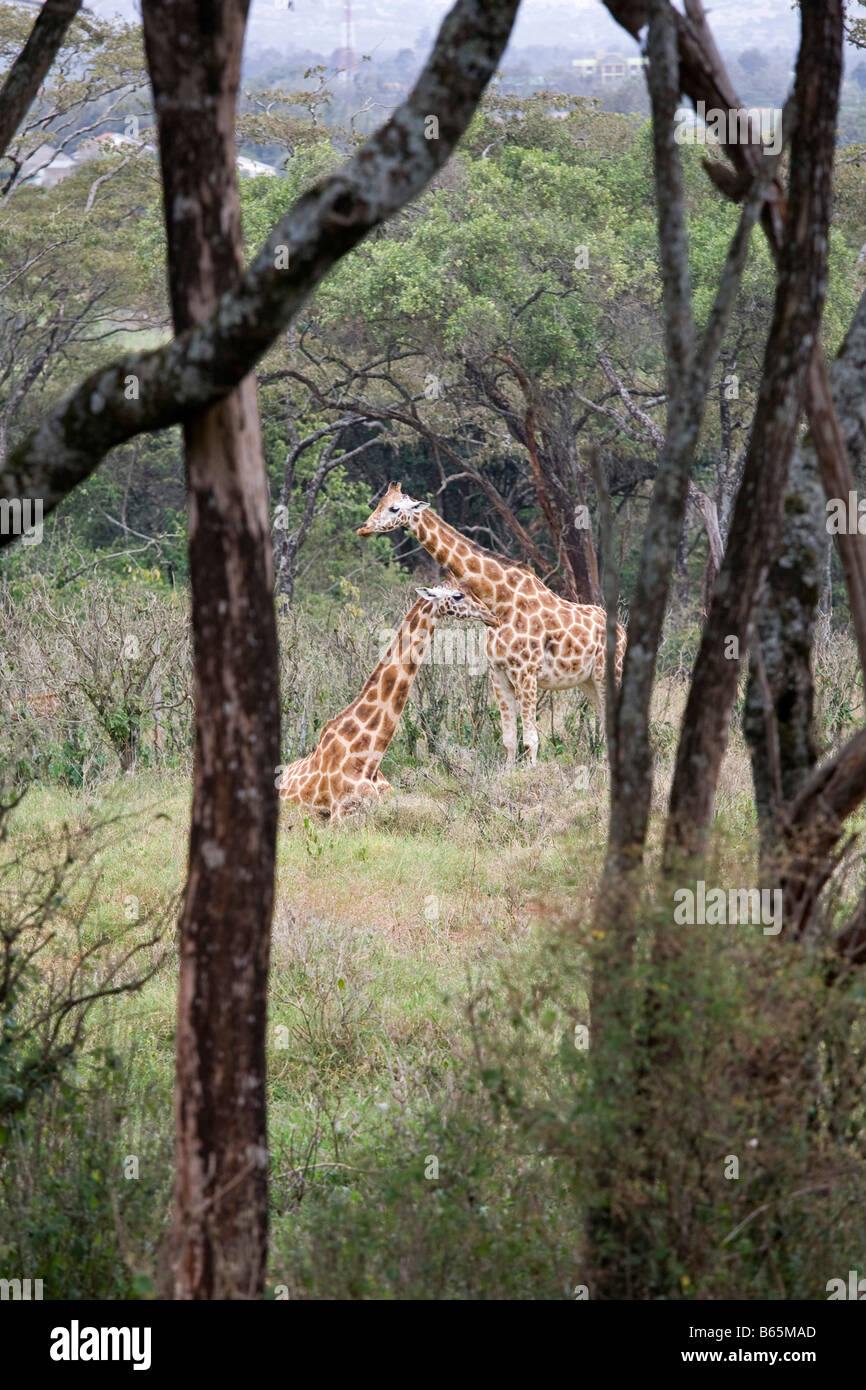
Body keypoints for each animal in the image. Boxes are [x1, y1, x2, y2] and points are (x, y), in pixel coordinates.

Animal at [355, 486, 625, 772]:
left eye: (394, 508)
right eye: (379, 503)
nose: (364, 528)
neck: (500, 600)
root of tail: (623, 632)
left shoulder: (526, 672)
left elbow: (530, 740)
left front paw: (531, 773)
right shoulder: (498, 673)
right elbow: (508, 738)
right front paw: (508, 772)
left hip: (608, 673)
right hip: (587, 681)